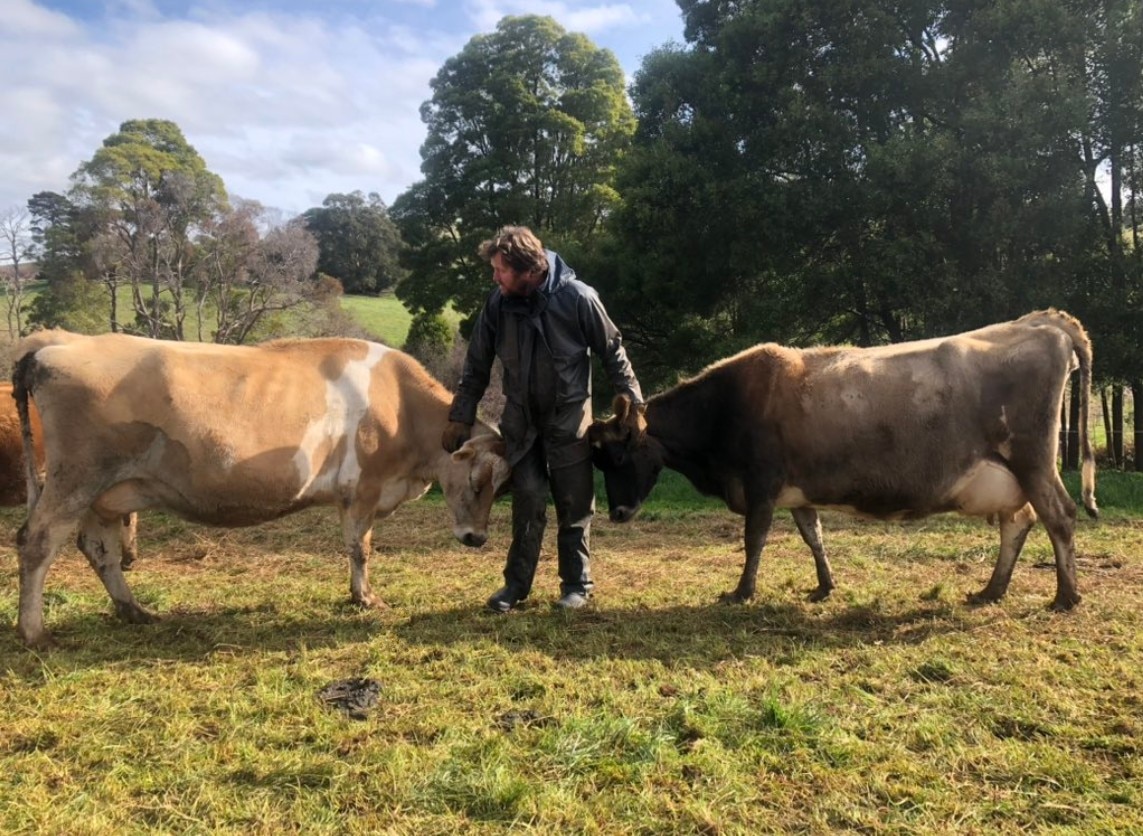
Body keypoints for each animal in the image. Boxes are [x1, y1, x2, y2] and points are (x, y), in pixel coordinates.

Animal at [12, 330, 511, 648]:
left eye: (500, 485)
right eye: (478, 480)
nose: (477, 538)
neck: (402, 407)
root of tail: (57, 342)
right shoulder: (364, 490)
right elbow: (361, 549)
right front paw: (366, 598)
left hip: (104, 494)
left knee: (100, 551)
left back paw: (134, 611)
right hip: (74, 478)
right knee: (37, 543)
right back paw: (34, 632)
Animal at [589, 309, 1097, 612]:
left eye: (619, 454)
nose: (617, 513)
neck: (723, 410)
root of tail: (1044, 323)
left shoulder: (760, 485)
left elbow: (754, 540)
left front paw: (741, 592)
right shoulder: (797, 490)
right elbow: (813, 536)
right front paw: (824, 585)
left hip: (1033, 460)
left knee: (1060, 516)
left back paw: (1066, 595)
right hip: (1011, 476)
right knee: (1019, 521)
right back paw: (992, 590)